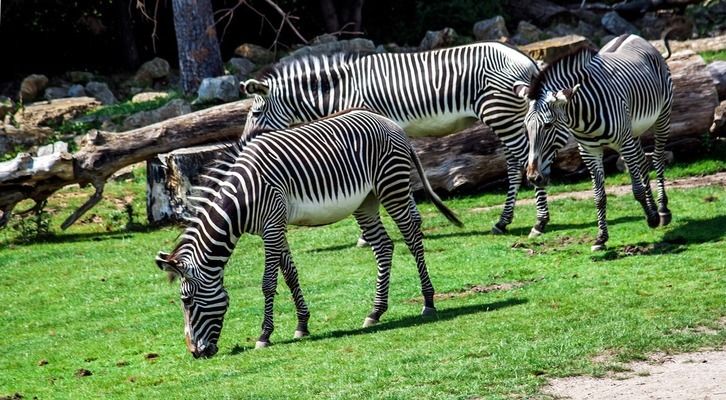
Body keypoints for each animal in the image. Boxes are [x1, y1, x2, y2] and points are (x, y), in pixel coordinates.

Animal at [154, 110, 464, 360]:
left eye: (186, 301)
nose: (195, 353)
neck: (241, 199)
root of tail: (389, 122)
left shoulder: (271, 225)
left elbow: (268, 283)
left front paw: (264, 335)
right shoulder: (275, 226)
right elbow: (290, 274)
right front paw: (302, 325)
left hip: (392, 187)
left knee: (411, 236)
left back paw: (428, 302)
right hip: (366, 200)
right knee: (384, 246)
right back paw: (375, 312)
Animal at [242, 42, 572, 239]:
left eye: (256, 112)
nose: (243, 143)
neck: (343, 89)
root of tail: (527, 59)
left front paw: (368, 235)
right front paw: (412, 221)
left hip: (498, 111)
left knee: (523, 159)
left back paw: (537, 221)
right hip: (508, 115)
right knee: (517, 160)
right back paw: (506, 221)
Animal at [512, 34, 676, 250]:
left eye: (548, 125)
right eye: (525, 127)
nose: (532, 178)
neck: (583, 115)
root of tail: (634, 36)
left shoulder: (623, 142)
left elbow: (637, 189)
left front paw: (652, 218)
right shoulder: (589, 150)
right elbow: (599, 196)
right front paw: (601, 238)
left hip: (662, 117)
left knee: (656, 158)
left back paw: (663, 210)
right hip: (633, 131)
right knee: (642, 161)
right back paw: (655, 208)